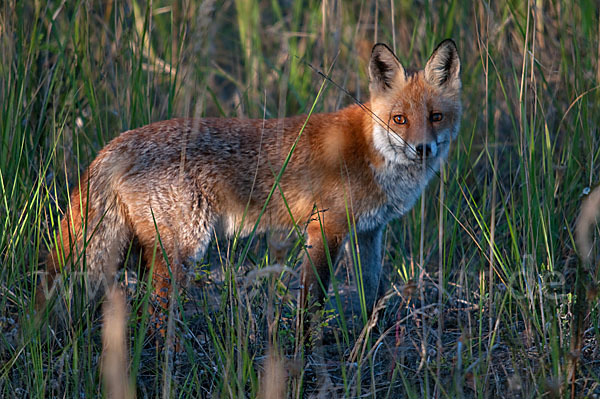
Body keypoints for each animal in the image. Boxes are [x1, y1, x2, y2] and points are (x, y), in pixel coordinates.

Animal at [36, 38, 460, 332]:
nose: (422, 149)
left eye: (435, 117)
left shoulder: (371, 231)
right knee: (155, 314)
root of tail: (117, 142)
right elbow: (312, 301)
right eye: (400, 119)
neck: (371, 151)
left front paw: (370, 337)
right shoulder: (325, 229)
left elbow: (373, 292)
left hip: (144, 247)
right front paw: (304, 349)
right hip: (184, 248)